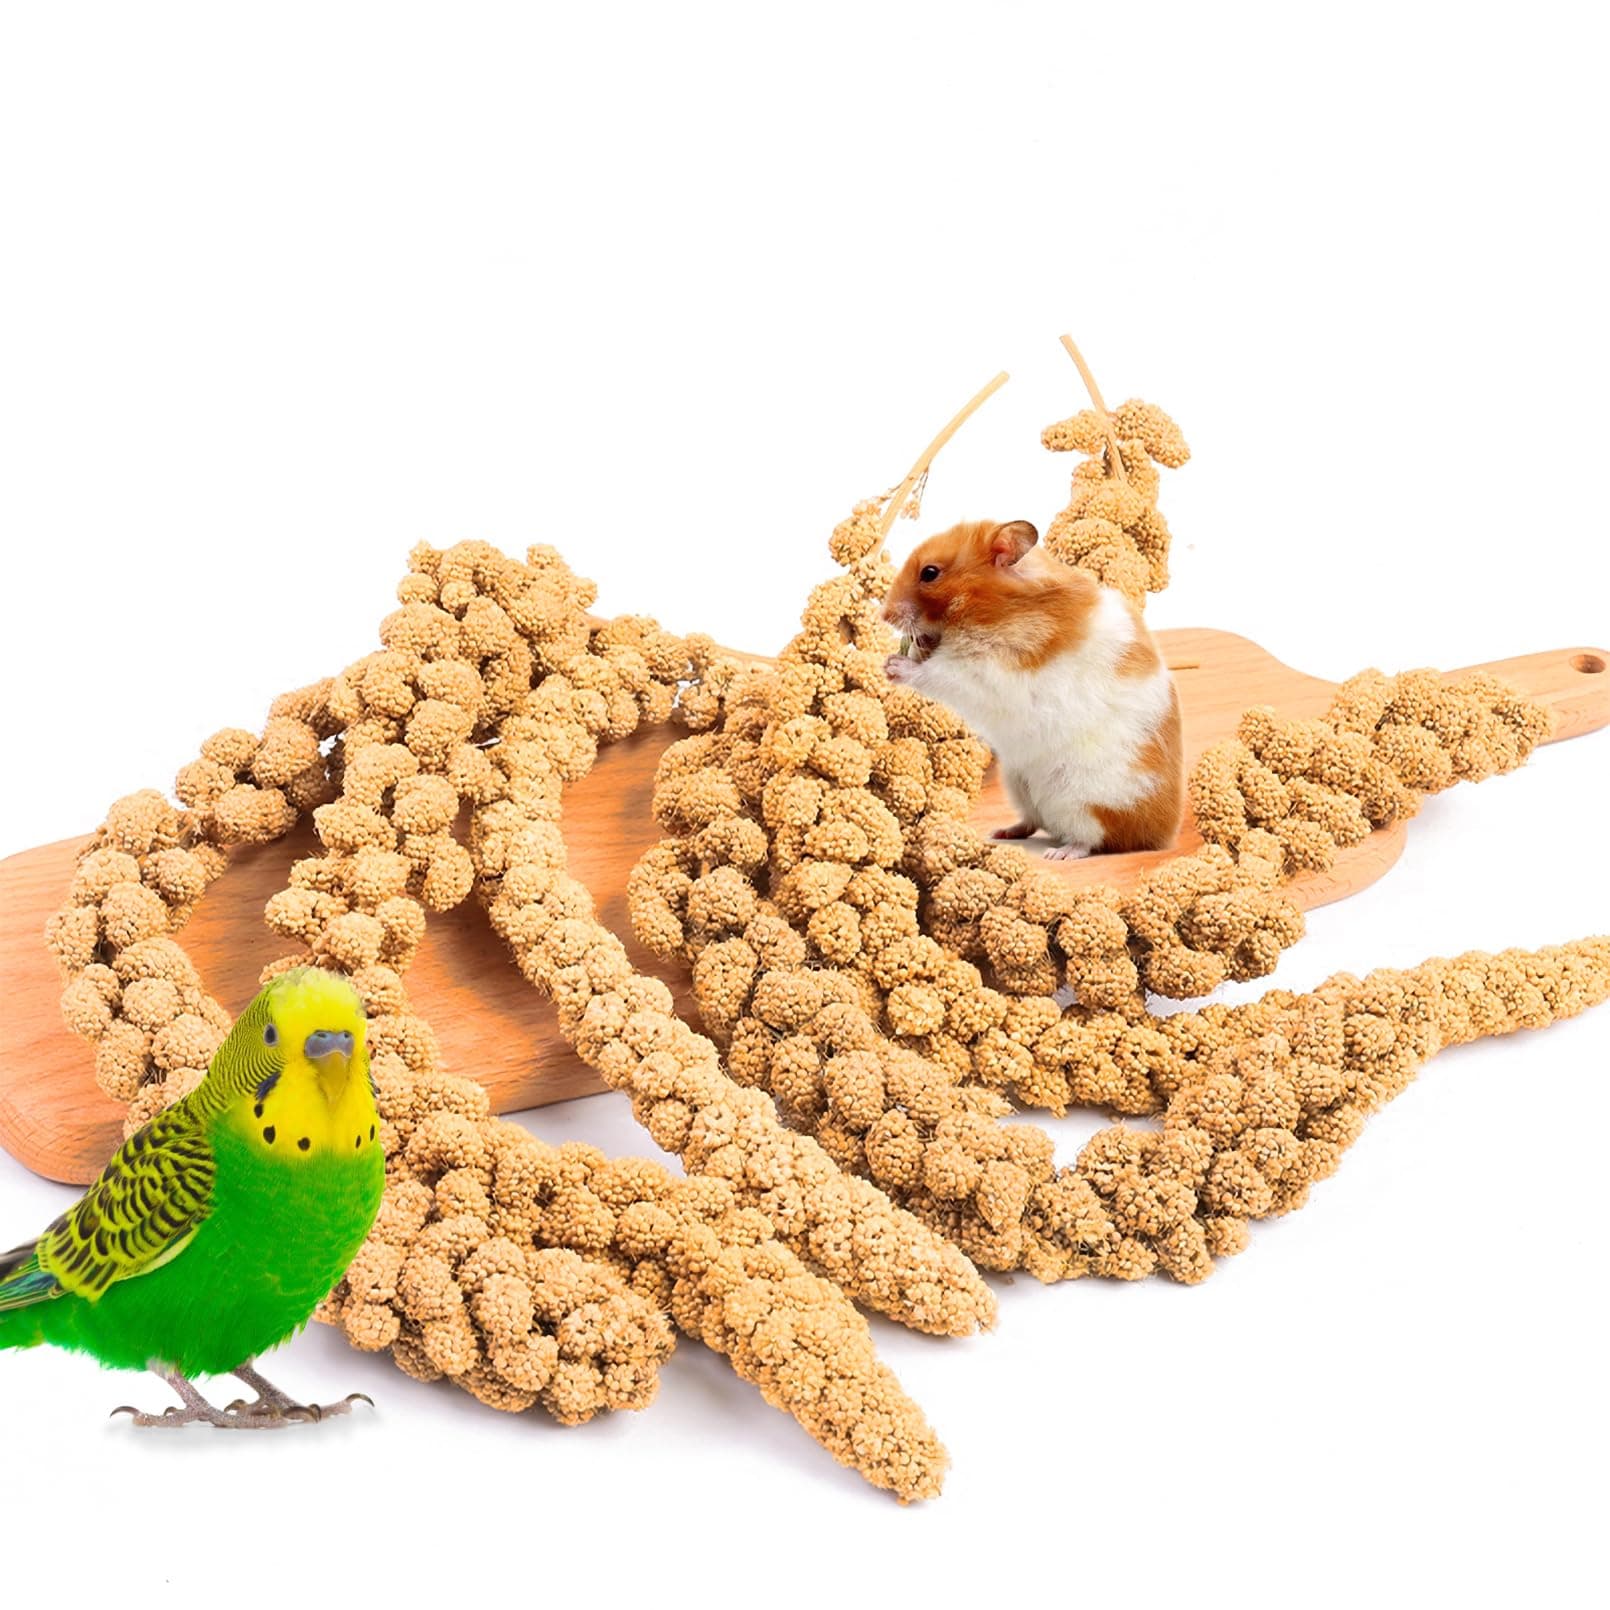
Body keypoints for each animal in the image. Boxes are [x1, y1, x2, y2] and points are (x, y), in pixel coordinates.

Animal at [882, 518, 1183, 858]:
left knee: (1094, 838)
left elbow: (935, 674)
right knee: (1033, 820)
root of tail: (1158, 835)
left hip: (1085, 799)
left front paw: (892, 666)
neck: (994, 609)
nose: (883, 614)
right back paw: (1002, 832)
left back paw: (1060, 853)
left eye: (930, 573)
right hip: (1018, 783)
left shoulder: (983, 673)